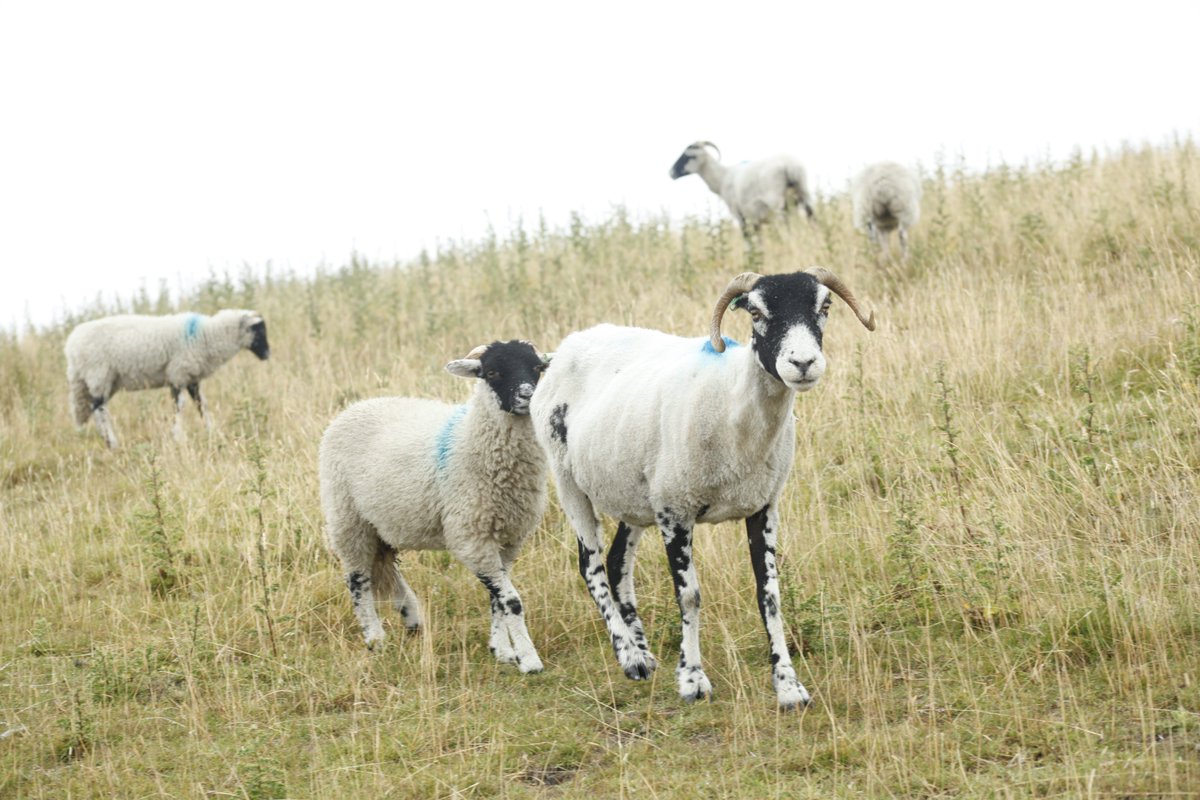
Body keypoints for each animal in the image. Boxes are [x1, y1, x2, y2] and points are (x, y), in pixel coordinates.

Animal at [65, 309, 270, 448]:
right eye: (258, 330)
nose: (267, 355)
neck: (207, 335)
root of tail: (71, 345)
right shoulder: (178, 373)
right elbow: (179, 406)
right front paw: (178, 436)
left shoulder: (190, 378)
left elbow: (201, 405)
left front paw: (211, 431)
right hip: (98, 375)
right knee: (98, 408)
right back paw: (112, 443)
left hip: (102, 381)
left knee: (95, 407)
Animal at [320, 340, 551, 673]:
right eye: (492, 372)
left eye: (537, 368)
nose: (527, 396)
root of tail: (353, 408)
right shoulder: (470, 538)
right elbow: (511, 600)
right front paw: (529, 660)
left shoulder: (508, 539)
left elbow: (497, 599)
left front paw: (502, 651)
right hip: (347, 516)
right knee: (358, 579)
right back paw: (375, 638)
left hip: (382, 523)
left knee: (383, 568)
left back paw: (412, 618)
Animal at [530, 269, 875, 707]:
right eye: (756, 312)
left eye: (825, 306)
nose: (802, 363)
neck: (732, 405)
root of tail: (564, 349)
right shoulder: (675, 512)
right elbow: (690, 595)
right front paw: (692, 679)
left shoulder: (763, 507)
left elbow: (770, 596)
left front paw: (789, 685)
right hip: (568, 480)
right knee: (590, 566)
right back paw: (630, 658)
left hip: (636, 495)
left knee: (617, 561)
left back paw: (644, 652)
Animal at [669, 141, 814, 234]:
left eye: (689, 156)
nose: (671, 172)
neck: (722, 178)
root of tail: (789, 165)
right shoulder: (756, 220)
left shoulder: (739, 215)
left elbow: (747, 241)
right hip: (804, 190)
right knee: (812, 217)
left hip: (776, 201)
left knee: (786, 226)